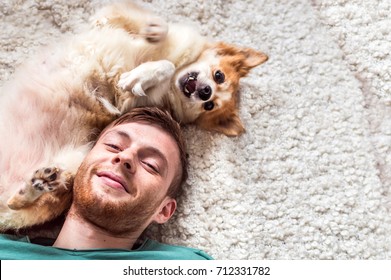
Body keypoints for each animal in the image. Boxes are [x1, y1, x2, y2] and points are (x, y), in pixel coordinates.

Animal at [0, 1, 268, 231]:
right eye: (219, 76)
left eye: (210, 106)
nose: (205, 92)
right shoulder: (113, 17)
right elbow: (159, 29)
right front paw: (153, 34)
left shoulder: (131, 102)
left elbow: (160, 70)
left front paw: (142, 74)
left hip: (78, 162)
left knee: (21, 202)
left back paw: (38, 184)